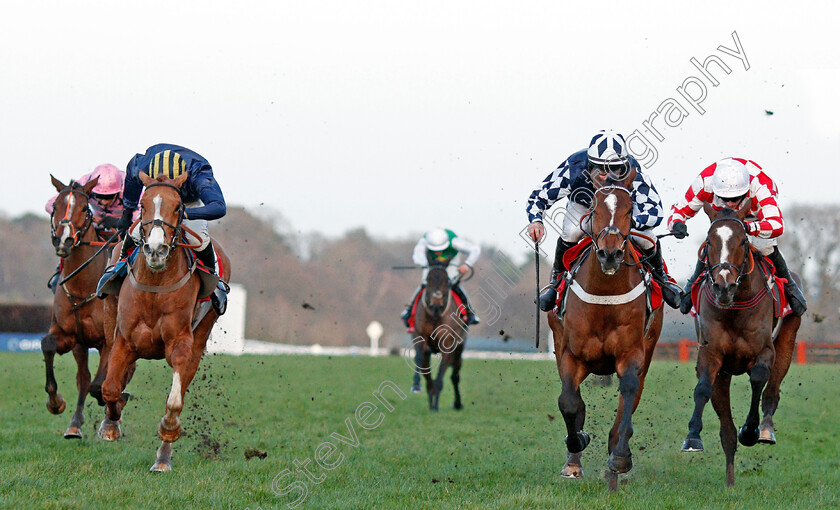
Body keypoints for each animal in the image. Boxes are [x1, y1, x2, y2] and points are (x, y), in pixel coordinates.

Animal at [97, 169, 231, 472]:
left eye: (179, 207)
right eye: (143, 205)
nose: (156, 249)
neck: (156, 284)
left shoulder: (181, 343)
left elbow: (174, 402)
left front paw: (168, 432)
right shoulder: (124, 339)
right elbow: (110, 388)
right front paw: (110, 426)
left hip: (202, 333)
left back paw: (162, 458)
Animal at [416, 262, 470, 410]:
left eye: (446, 281)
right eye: (428, 280)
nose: (436, 304)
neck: (435, 315)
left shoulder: (448, 346)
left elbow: (441, 378)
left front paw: (435, 406)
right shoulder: (421, 343)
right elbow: (426, 374)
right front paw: (430, 401)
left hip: (459, 350)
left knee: (455, 376)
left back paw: (457, 403)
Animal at [548, 184, 668, 490]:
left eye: (629, 209)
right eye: (594, 208)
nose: (610, 254)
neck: (605, 293)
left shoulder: (632, 354)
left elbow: (628, 395)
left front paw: (620, 458)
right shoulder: (570, 354)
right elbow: (569, 402)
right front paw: (576, 447)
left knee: (630, 399)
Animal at [680, 199, 804, 486]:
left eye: (743, 241)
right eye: (709, 241)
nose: (723, 286)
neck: (734, 306)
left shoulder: (764, 352)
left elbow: (758, 379)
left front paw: (750, 430)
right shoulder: (711, 355)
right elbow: (702, 388)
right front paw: (692, 437)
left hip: (787, 340)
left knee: (772, 391)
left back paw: (766, 430)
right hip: (724, 375)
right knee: (726, 429)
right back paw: (730, 481)